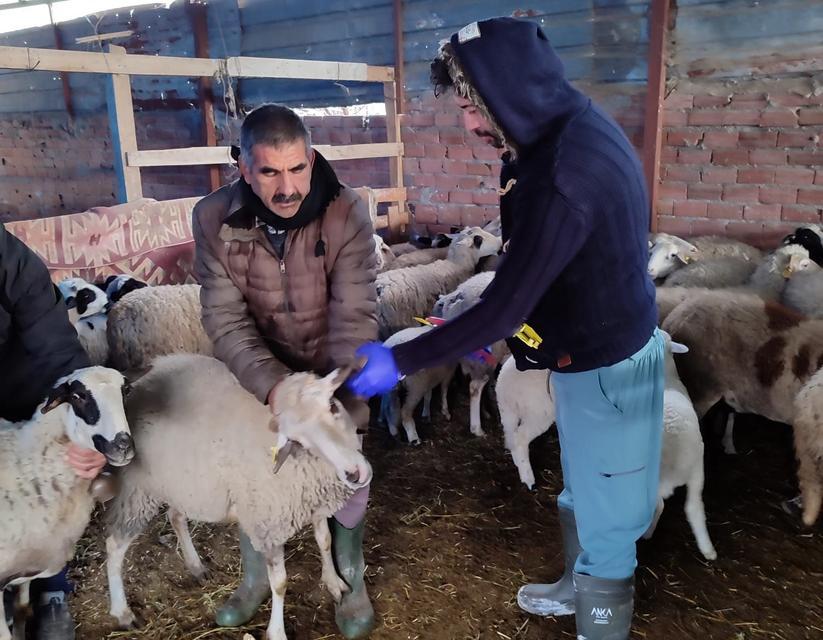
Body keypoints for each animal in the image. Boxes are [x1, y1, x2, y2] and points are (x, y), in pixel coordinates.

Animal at [106, 356, 374, 640]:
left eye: (333, 405)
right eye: (298, 440)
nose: (354, 474)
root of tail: (150, 369)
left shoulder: (314, 504)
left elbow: (325, 540)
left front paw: (333, 582)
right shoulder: (267, 521)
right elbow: (280, 583)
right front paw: (277, 631)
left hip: (185, 482)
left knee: (175, 516)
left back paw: (196, 566)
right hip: (138, 487)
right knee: (114, 544)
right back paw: (122, 612)